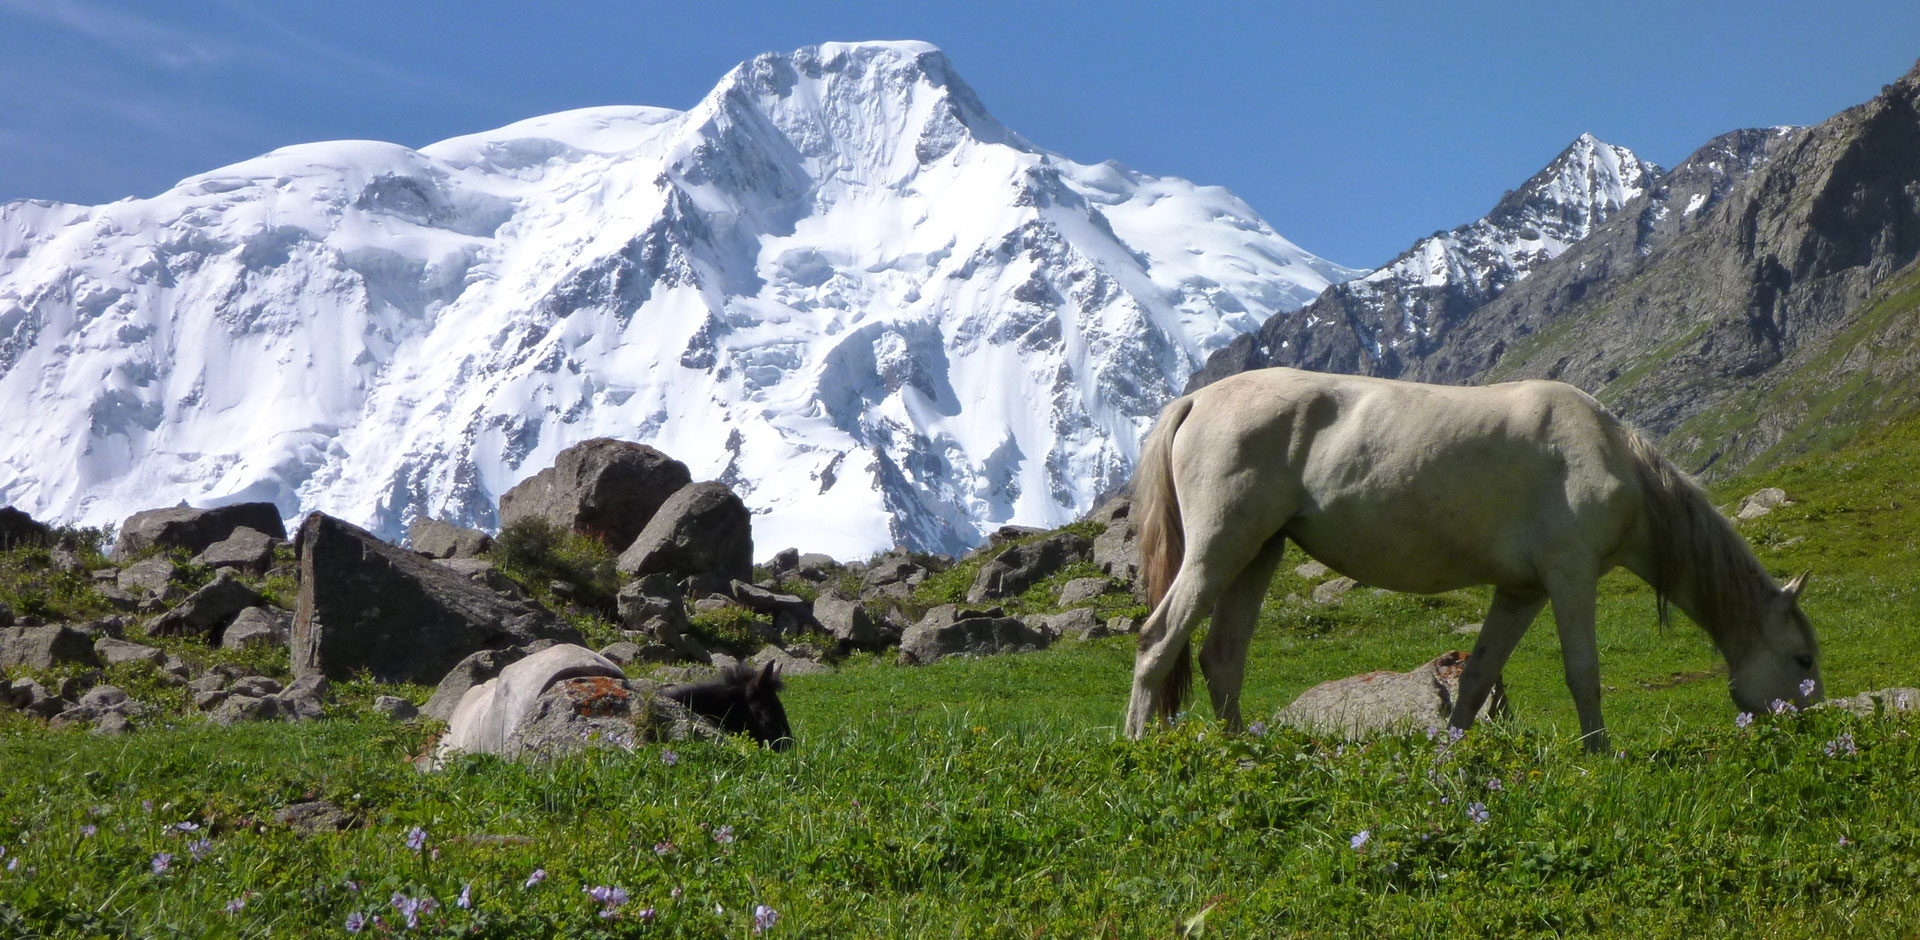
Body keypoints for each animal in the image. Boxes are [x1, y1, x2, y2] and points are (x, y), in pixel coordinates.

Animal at [1128, 366, 1820, 748]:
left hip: (1257, 554)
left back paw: (1244, 752)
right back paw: (1136, 747)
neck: (1614, 459)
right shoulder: (1570, 577)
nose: (1810, 729)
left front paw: (1454, 757)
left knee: (1222, 658)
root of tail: (1196, 400)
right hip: (1219, 550)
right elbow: (1583, 673)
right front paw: (1599, 754)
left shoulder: (1522, 592)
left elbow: (1478, 677)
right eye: (1802, 658)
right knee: (1158, 640)